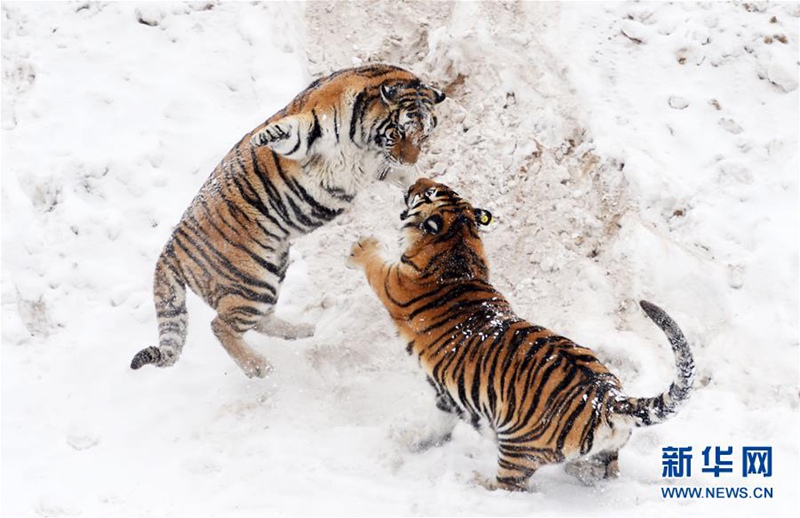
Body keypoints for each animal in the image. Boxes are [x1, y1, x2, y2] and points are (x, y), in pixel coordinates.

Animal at [130, 64, 446, 378]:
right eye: (398, 132)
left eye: (423, 137)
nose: (408, 158)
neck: (367, 143)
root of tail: (171, 245)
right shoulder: (312, 128)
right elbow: (289, 132)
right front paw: (261, 138)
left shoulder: (381, 166)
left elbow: (408, 178)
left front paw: (426, 189)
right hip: (251, 283)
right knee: (220, 326)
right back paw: (260, 367)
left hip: (267, 274)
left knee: (251, 321)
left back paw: (301, 332)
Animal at [348, 178, 695, 491]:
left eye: (429, 191)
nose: (415, 181)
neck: (459, 240)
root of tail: (609, 399)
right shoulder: (448, 397)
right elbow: (438, 423)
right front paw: (416, 441)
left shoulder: (392, 283)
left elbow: (374, 264)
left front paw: (360, 246)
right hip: (601, 454)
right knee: (600, 472)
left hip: (517, 449)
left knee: (510, 486)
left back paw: (476, 482)